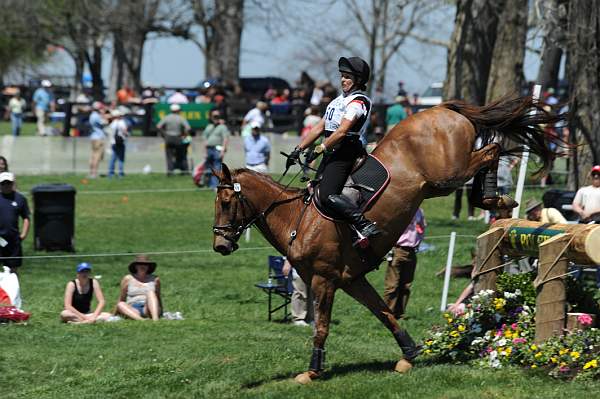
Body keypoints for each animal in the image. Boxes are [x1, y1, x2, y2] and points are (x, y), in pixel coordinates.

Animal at [212, 97, 564, 384]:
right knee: (491, 150)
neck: (297, 219)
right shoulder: (351, 279)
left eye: (227, 202)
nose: (220, 246)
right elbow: (385, 312)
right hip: (436, 185)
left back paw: (491, 198)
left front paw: (312, 371)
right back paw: (495, 199)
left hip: (448, 174)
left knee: (491, 150)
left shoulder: (324, 279)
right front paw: (409, 353)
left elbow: (321, 326)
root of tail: (441, 107)